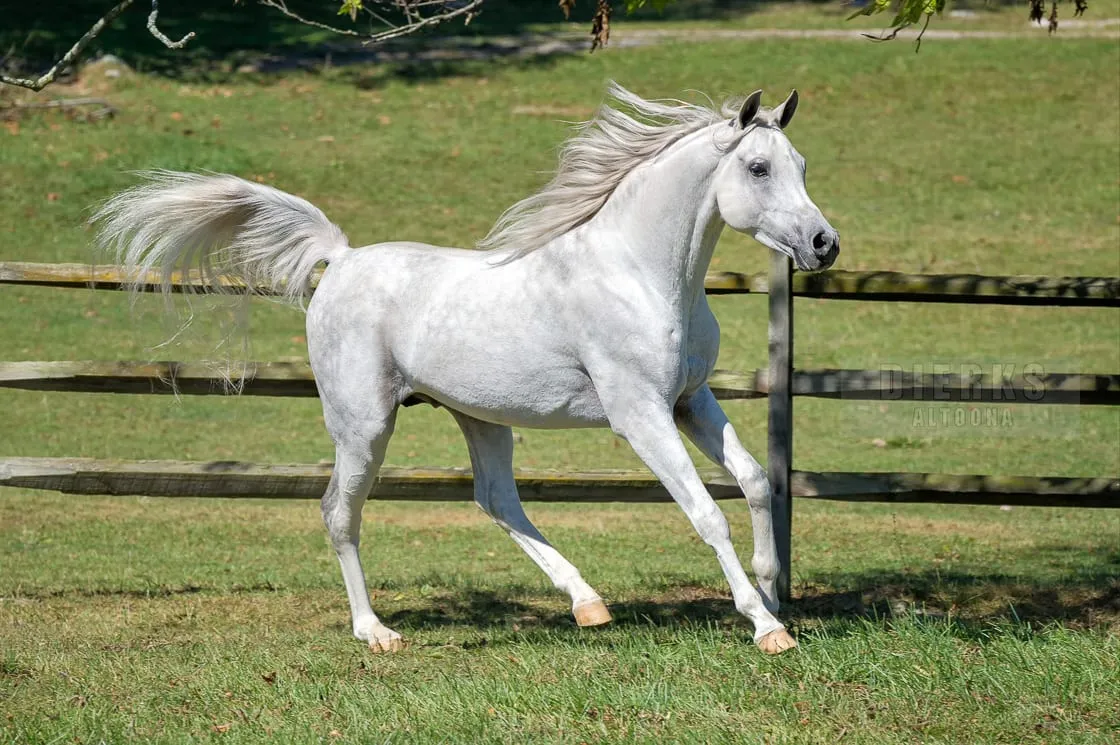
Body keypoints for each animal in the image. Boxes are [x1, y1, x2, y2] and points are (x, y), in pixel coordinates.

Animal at [96, 81, 837, 654]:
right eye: (759, 168)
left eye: (802, 162)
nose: (824, 244)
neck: (638, 273)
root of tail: (341, 259)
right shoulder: (641, 414)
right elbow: (706, 511)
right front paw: (766, 626)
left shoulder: (690, 399)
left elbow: (754, 480)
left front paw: (773, 589)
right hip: (364, 425)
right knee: (339, 512)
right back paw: (376, 632)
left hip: (481, 418)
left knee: (496, 498)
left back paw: (588, 604)